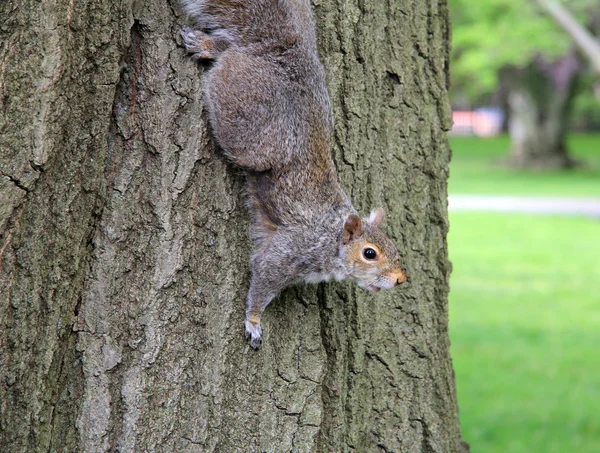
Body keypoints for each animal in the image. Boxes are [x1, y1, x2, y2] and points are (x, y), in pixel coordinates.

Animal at [180, 0, 406, 348]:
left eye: (393, 246)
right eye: (370, 253)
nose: (400, 279)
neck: (330, 236)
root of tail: (282, 54)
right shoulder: (289, 251)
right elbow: (262, 280)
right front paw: (253, 322)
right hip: (250, 124)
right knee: (229, 56)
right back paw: (207, 46)